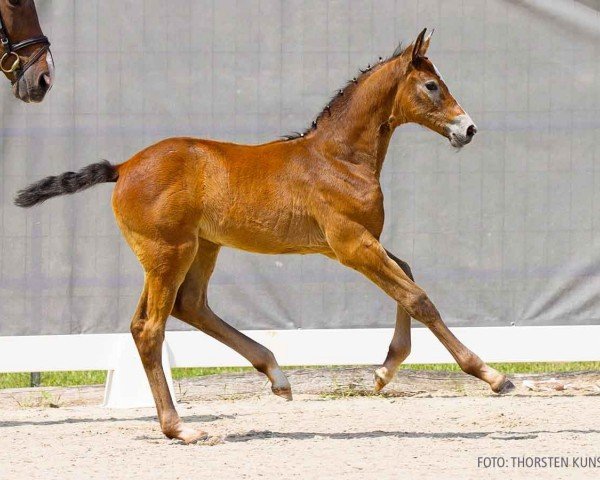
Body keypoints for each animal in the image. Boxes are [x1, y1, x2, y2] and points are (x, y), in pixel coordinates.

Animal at [15, 30, 510, 442]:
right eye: (432, 86)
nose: (468, 128)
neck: (338, 157)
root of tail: (123, 167)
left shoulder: (355, 241)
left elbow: (407, 273)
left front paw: (384, 372)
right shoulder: (351, 244)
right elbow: (417, 297)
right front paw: (492, 375)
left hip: (193, 251)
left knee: (182, 307)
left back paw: (276, 375)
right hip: (170, 254)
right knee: (152, 329)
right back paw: (181, 428)